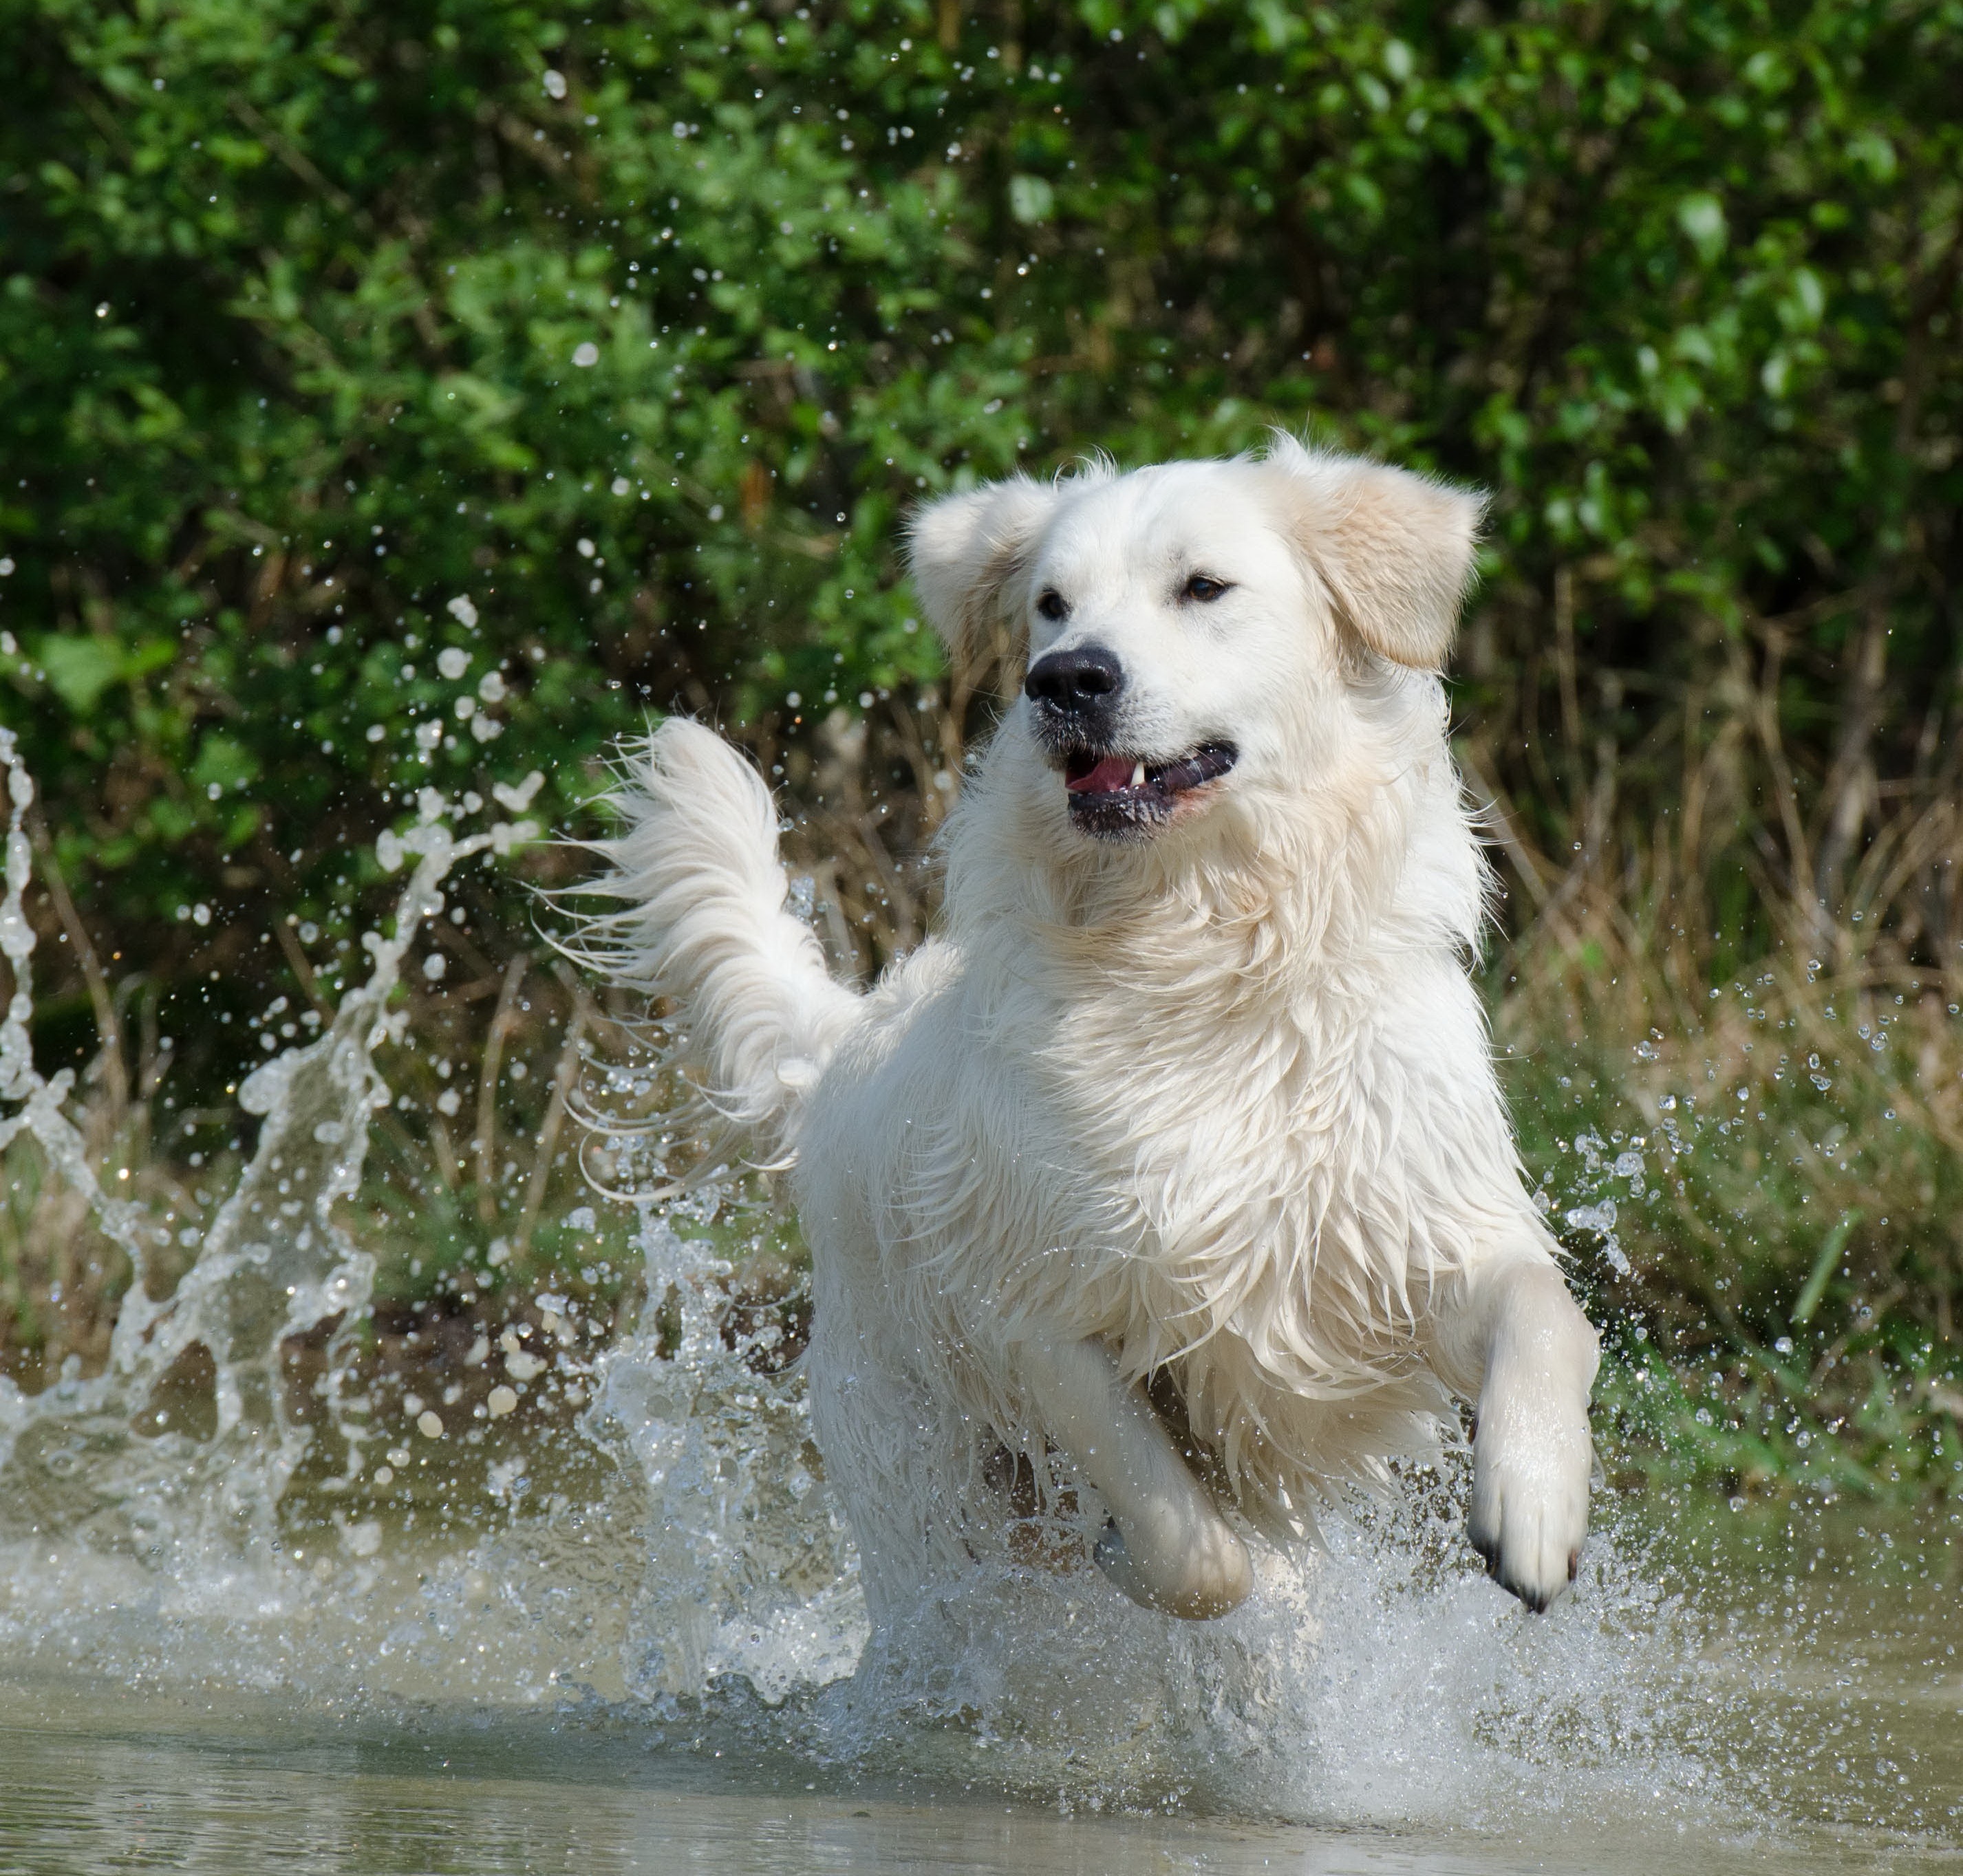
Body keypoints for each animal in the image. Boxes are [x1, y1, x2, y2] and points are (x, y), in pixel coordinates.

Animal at [577, 431, 1594, 1617]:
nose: (1065, 678)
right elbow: (1194, 1552)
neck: (1204, 954)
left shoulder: (1418, 1226)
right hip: (919, 1489)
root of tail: (843, 1048)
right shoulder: (1033, 1309)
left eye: (1203, 587)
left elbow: (1546, 1311)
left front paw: (1532, 1507)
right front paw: (1142, 1551)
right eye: (1051, 605)